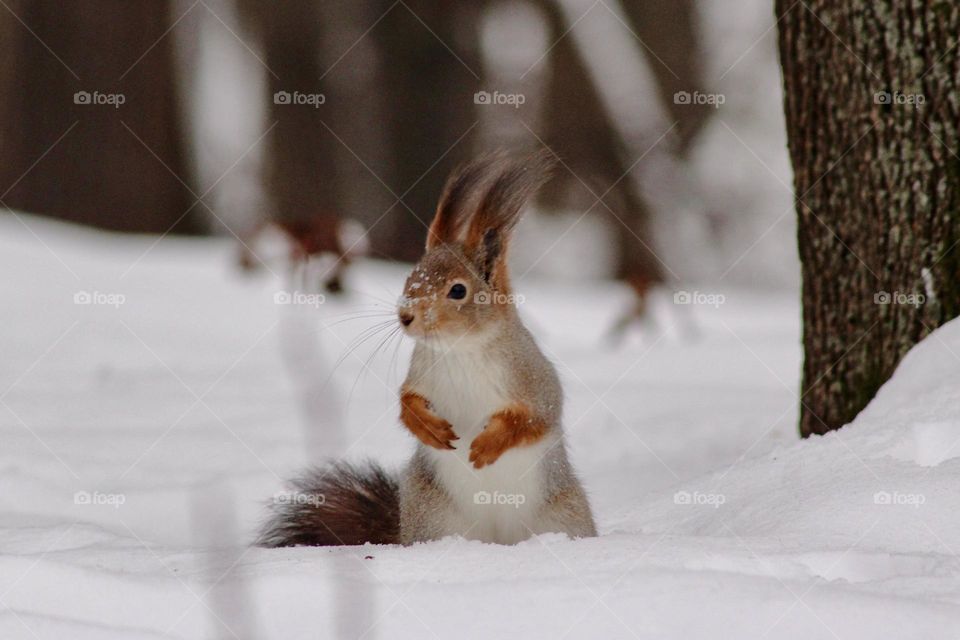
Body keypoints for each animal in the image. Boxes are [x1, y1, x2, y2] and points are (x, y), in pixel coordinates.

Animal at [258, 151, 596, 544]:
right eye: (409, 278)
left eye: (458, 290)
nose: (406, 316)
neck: (460, 349)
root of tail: (496, 540)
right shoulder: (420, 373)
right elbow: (407, 401)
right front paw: (430, 428)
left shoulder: (532, 377)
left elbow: (536, 416)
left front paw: (487, 444)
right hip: (432, 515)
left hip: (562, 515)